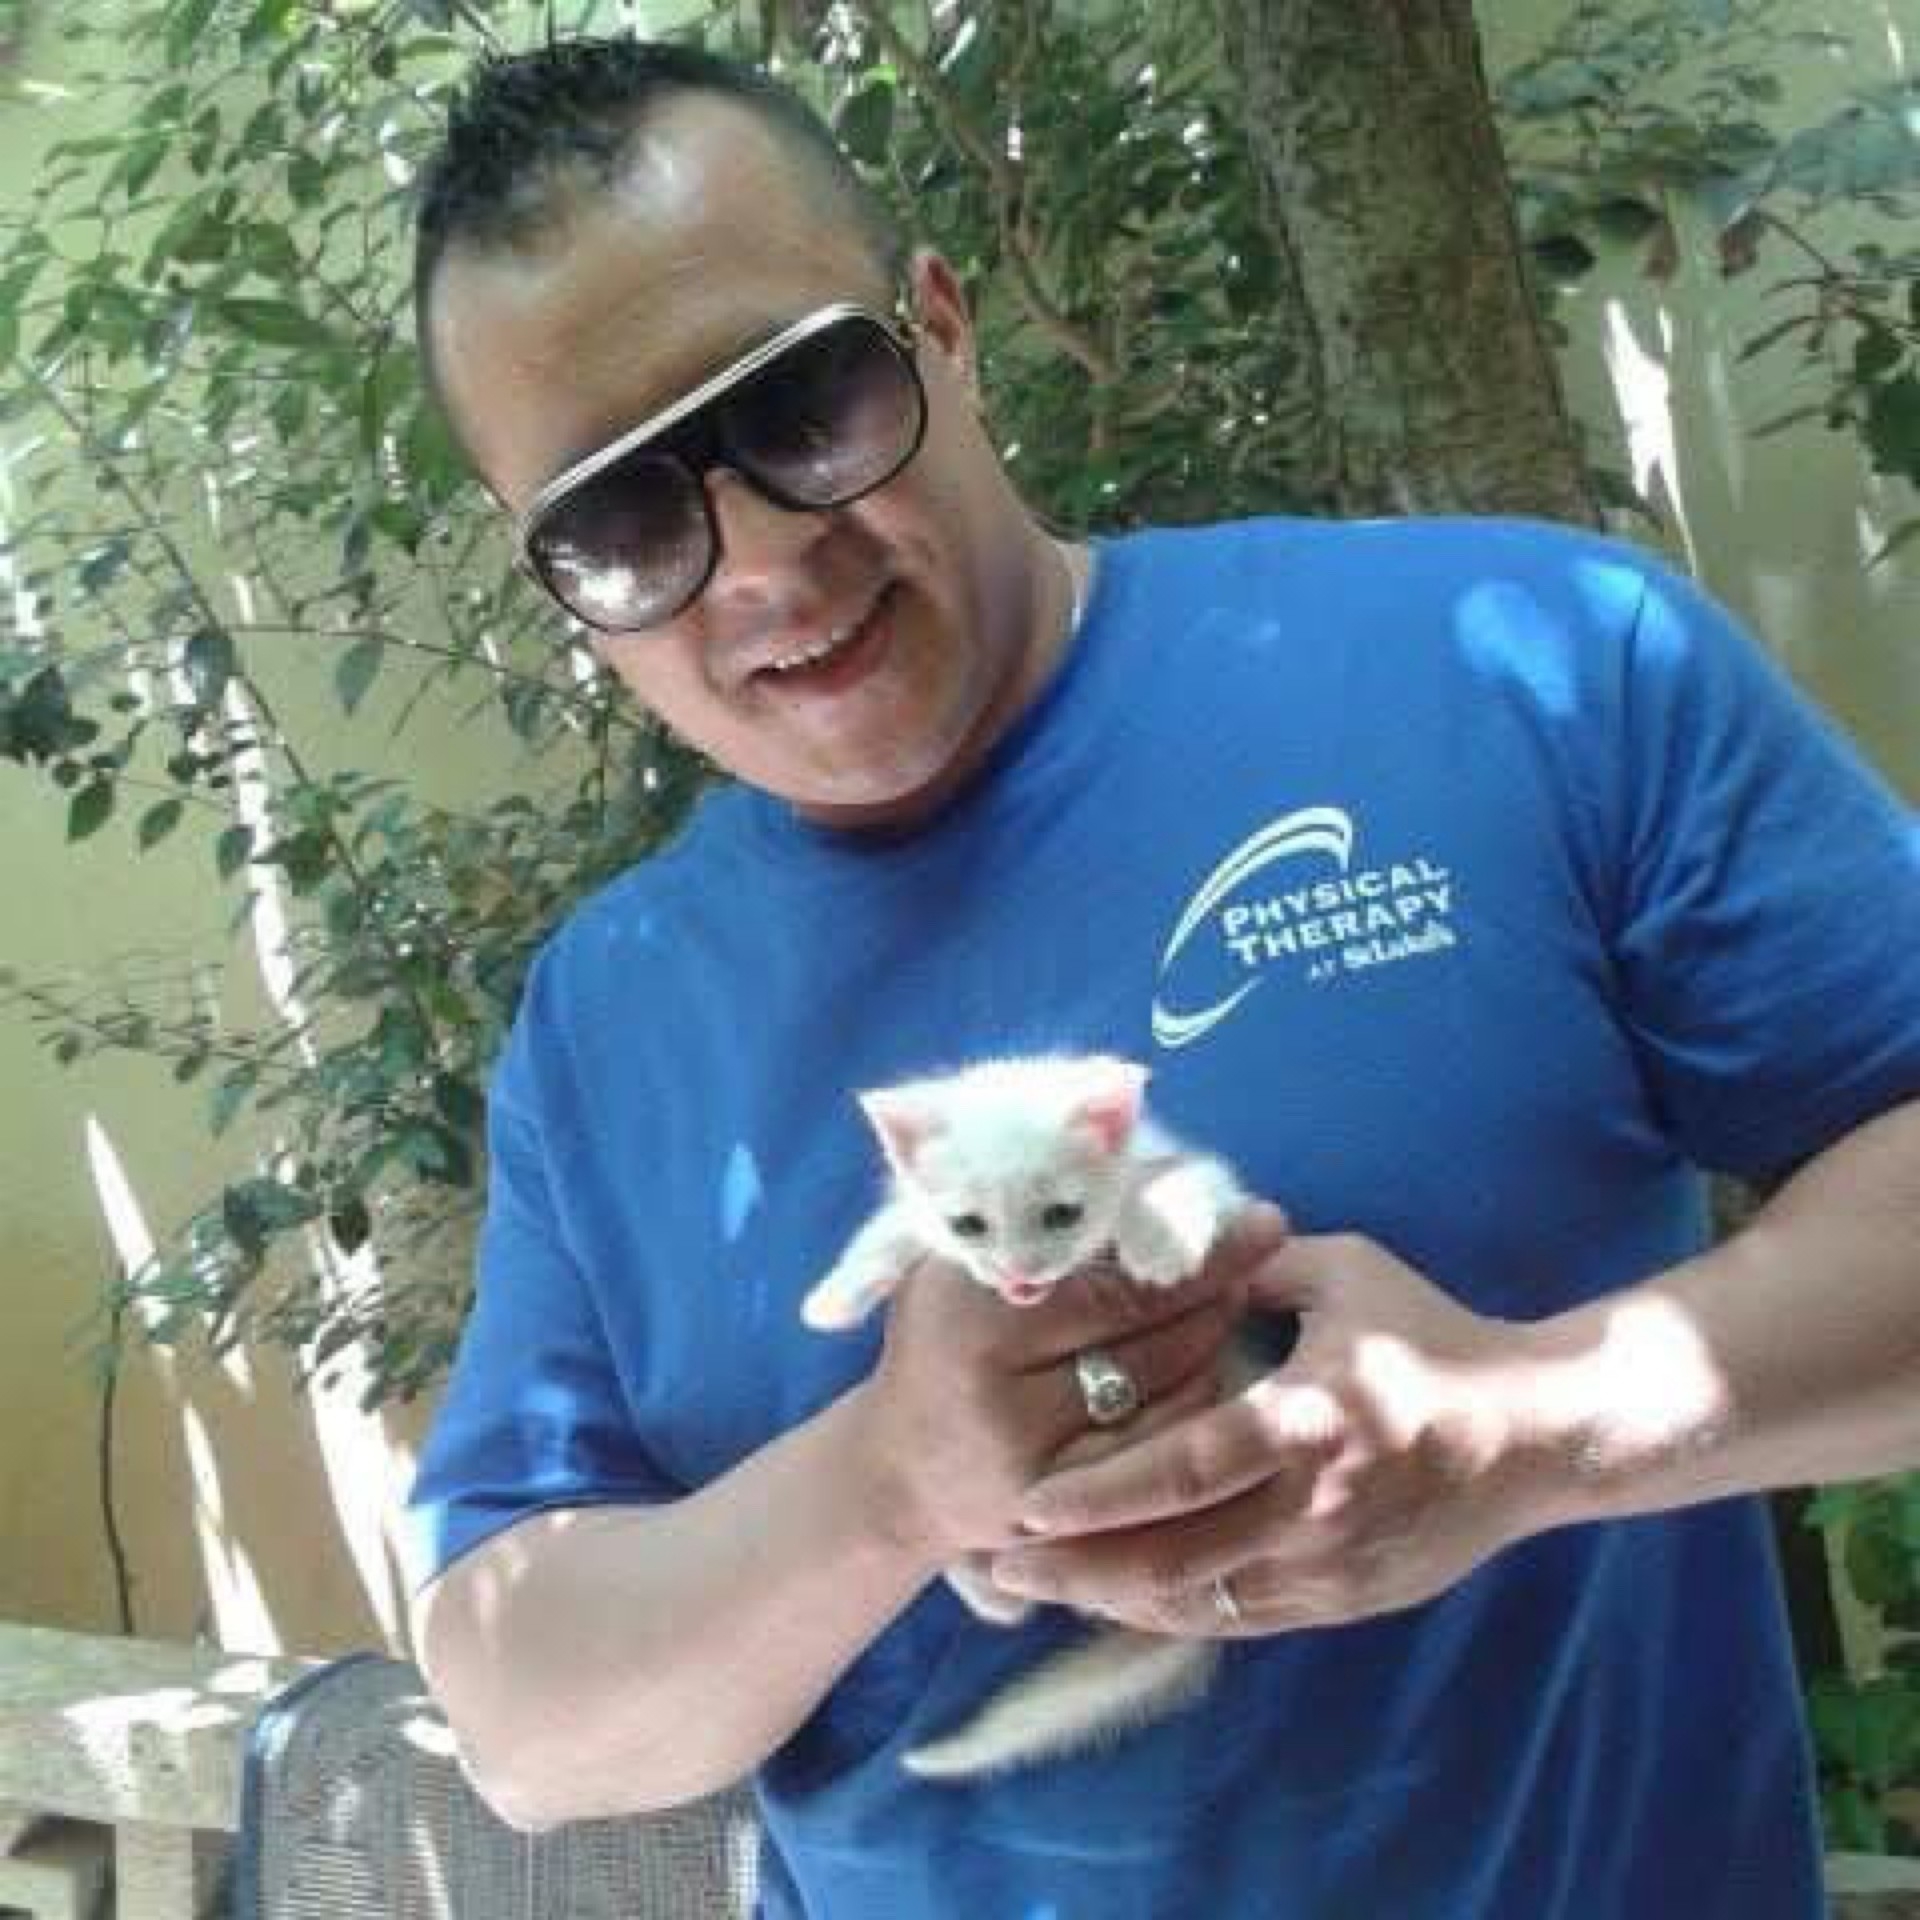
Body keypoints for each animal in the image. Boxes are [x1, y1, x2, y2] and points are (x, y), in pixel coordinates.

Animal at [800, 1053, 1262, 1780]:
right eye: (968, 1225)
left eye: (1062, 1214)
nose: (1018, 1279)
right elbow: (896, 1222)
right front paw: (836, 1295)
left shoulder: (1211, 1183)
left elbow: (1182, 1180)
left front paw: (1159, 1243)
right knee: (1007, 1599)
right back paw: (988, 1589)